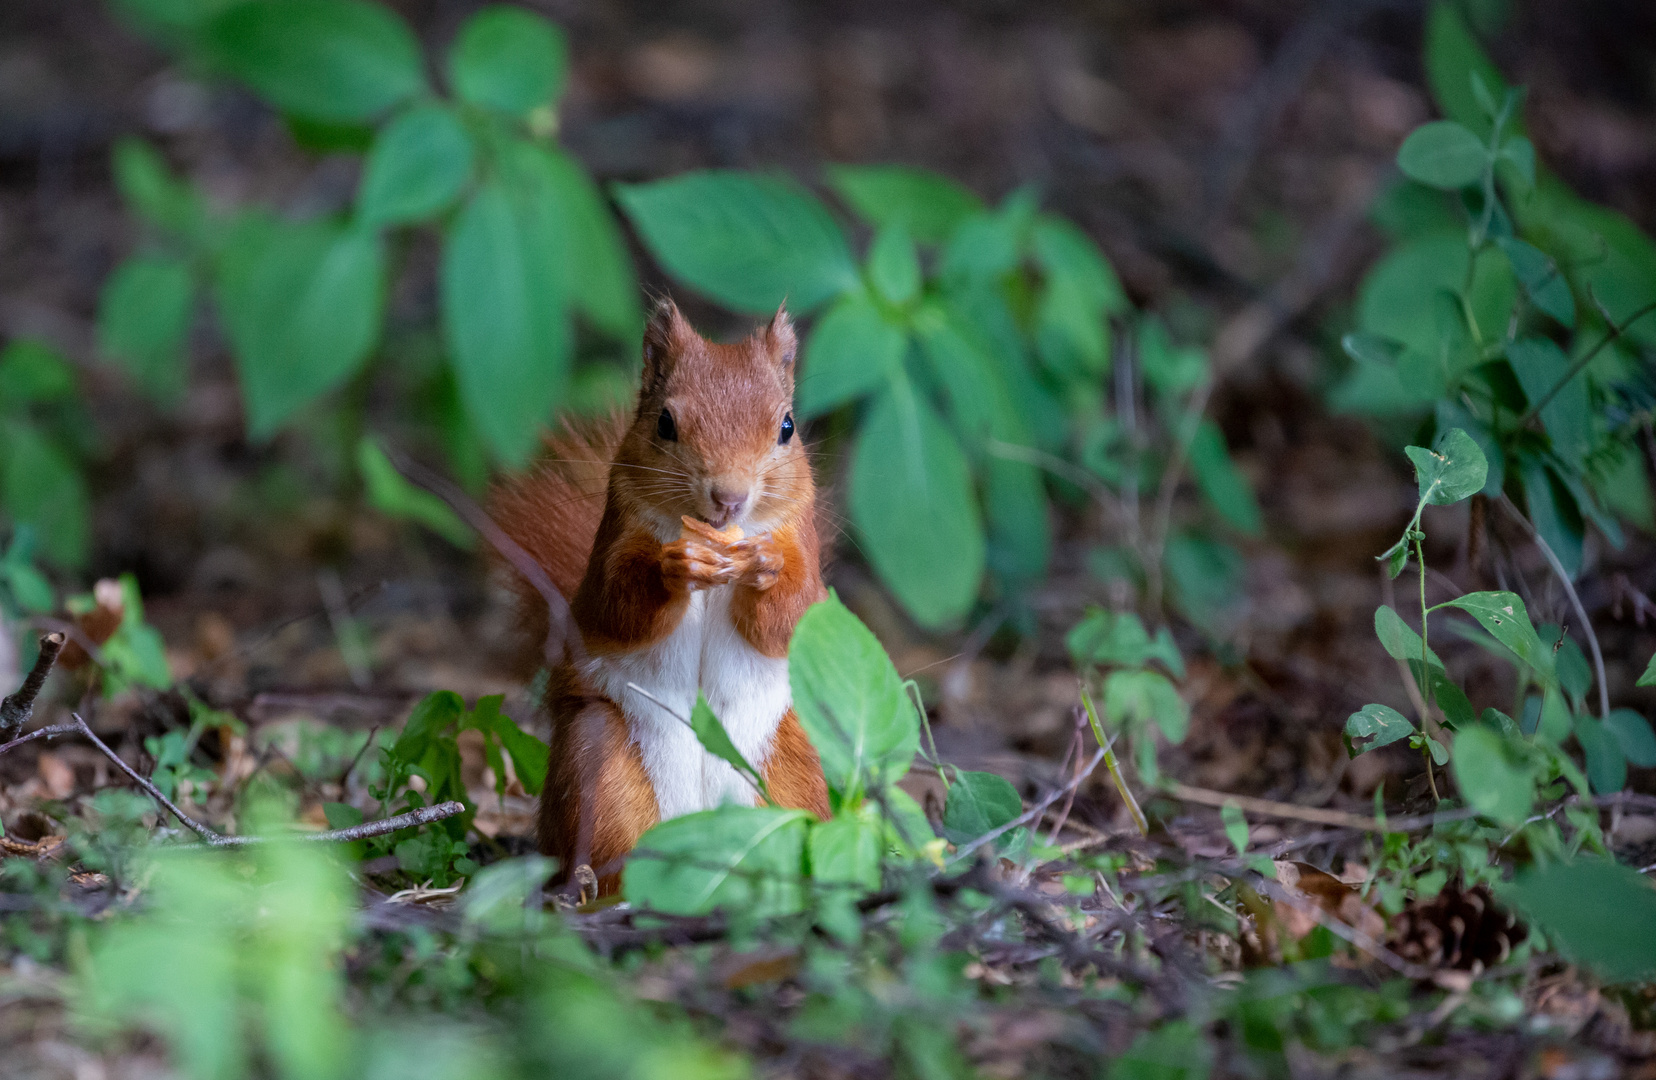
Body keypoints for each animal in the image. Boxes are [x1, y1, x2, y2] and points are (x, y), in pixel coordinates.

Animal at [490, 293, 828, 887]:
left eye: (787, 426)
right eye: (665, 423)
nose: (729, 497)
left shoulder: (800, 541)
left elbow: (790, 617)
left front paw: (764, 565)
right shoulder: (615, 536)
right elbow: (617, 606)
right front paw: (673, 566)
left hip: (793, 768)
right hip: (596, 762)